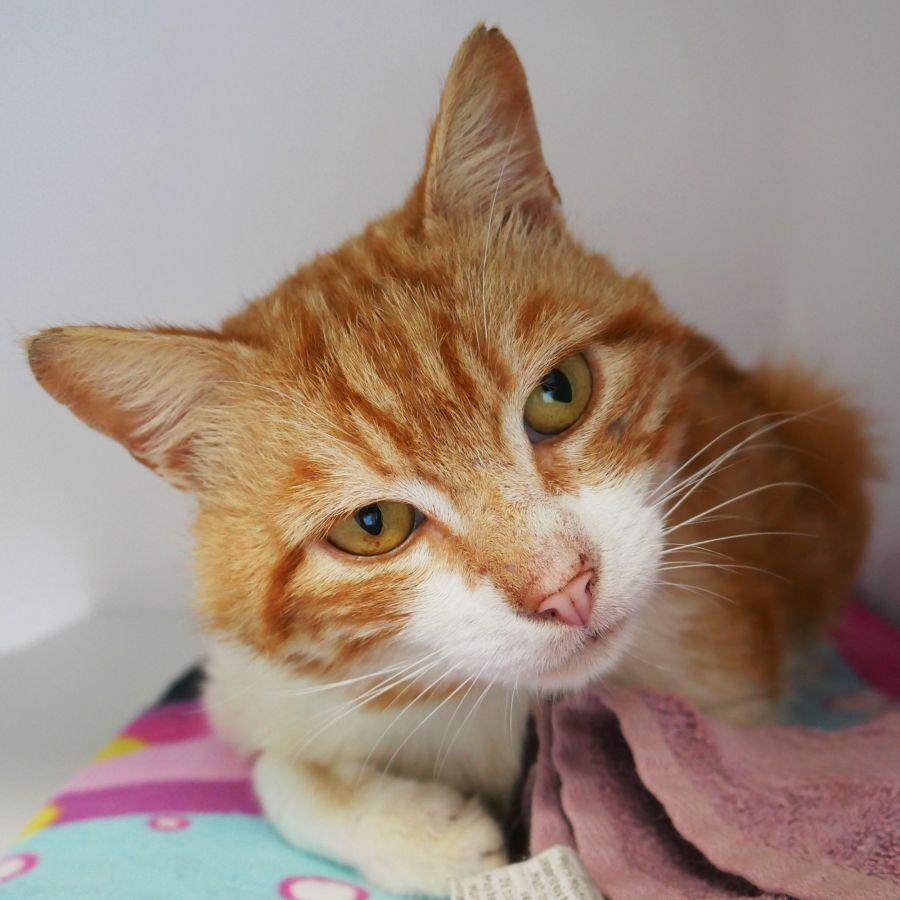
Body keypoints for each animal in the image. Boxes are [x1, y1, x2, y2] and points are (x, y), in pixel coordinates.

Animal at [27, 24, 873, 897]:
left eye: (559, 393)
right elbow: (276, 771)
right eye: (372, 525)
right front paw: (428, 835)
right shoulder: (254, 688)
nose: (566, 589)